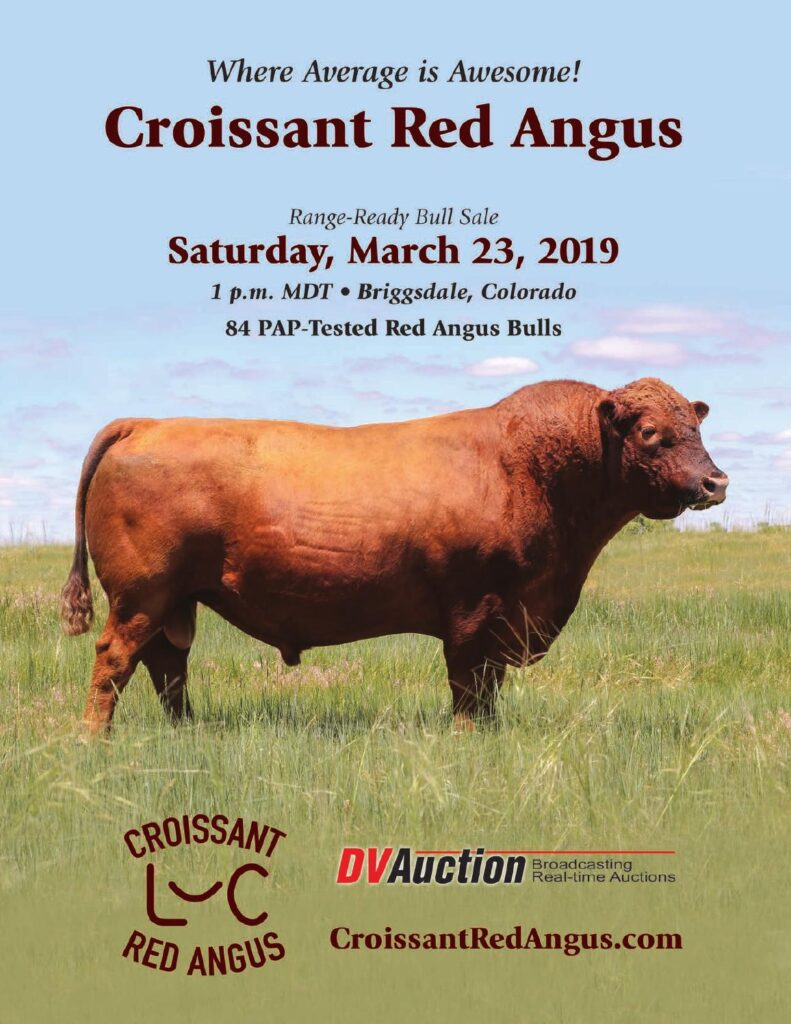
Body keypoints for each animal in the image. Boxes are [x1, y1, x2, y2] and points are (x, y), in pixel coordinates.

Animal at [61, 377, 728, 735]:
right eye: (650, 433)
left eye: (696, 428)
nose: (714, 482)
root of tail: (148, 422)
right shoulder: (474, 609)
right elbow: (469, 681)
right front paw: (469, 735)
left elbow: (489, 685)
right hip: (143, 595)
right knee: (115, 660)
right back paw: (95, 738)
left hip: (176, 602)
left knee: (166, 666)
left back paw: (188, 731)